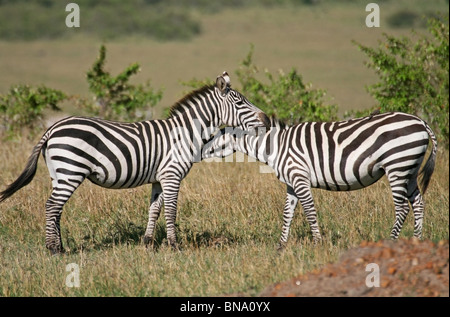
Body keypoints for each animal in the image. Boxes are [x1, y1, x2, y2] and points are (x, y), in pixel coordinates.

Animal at [0, 71, 270, 254]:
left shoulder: (160, 179)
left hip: (59, 173)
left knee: (57, 208)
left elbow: (154, 209)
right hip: (70, 170)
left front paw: (148, 243)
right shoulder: (172, 175)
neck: (185, 133)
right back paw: (53, 249)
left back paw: (62, 246)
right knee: (52, 206)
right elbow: (171, 210)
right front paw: (174, 246)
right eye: (240, 103)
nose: (267, 119)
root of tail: (53, 128)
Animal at [202, 112, 438, 248]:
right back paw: (416, 240)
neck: (276, 147)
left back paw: (390, 242)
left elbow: (309, 211)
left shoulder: (300, 178)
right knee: (418, 203)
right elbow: (287, 213)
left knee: (402, 208)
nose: (200, 148)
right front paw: (281, 246)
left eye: (216, 136)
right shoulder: (292, 182)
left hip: (397, 165)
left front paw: (317, 243)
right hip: (409, 168)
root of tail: (420, 121)